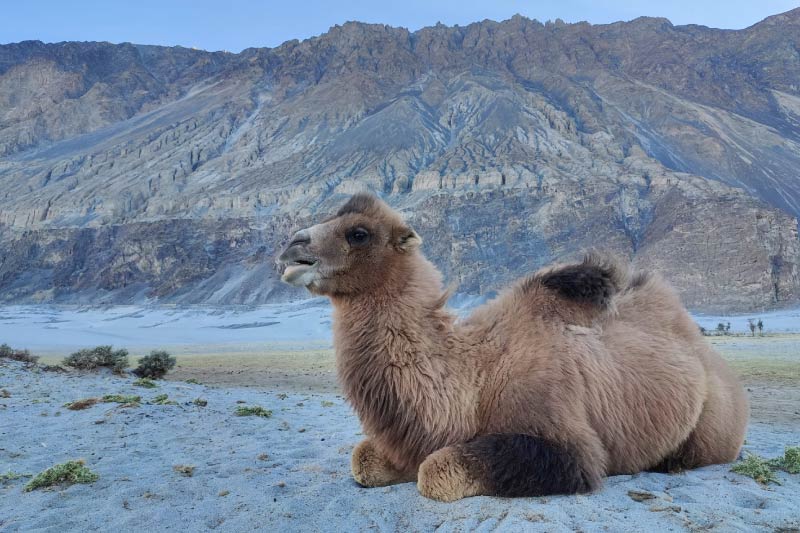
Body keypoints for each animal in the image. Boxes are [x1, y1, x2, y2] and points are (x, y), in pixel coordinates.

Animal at [276, 193, 752, 500]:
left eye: (358, 233)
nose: (291, 248)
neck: (474, 377)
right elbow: (363, 460)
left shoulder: (567, 446)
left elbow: (434, 472)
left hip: (715, 430)